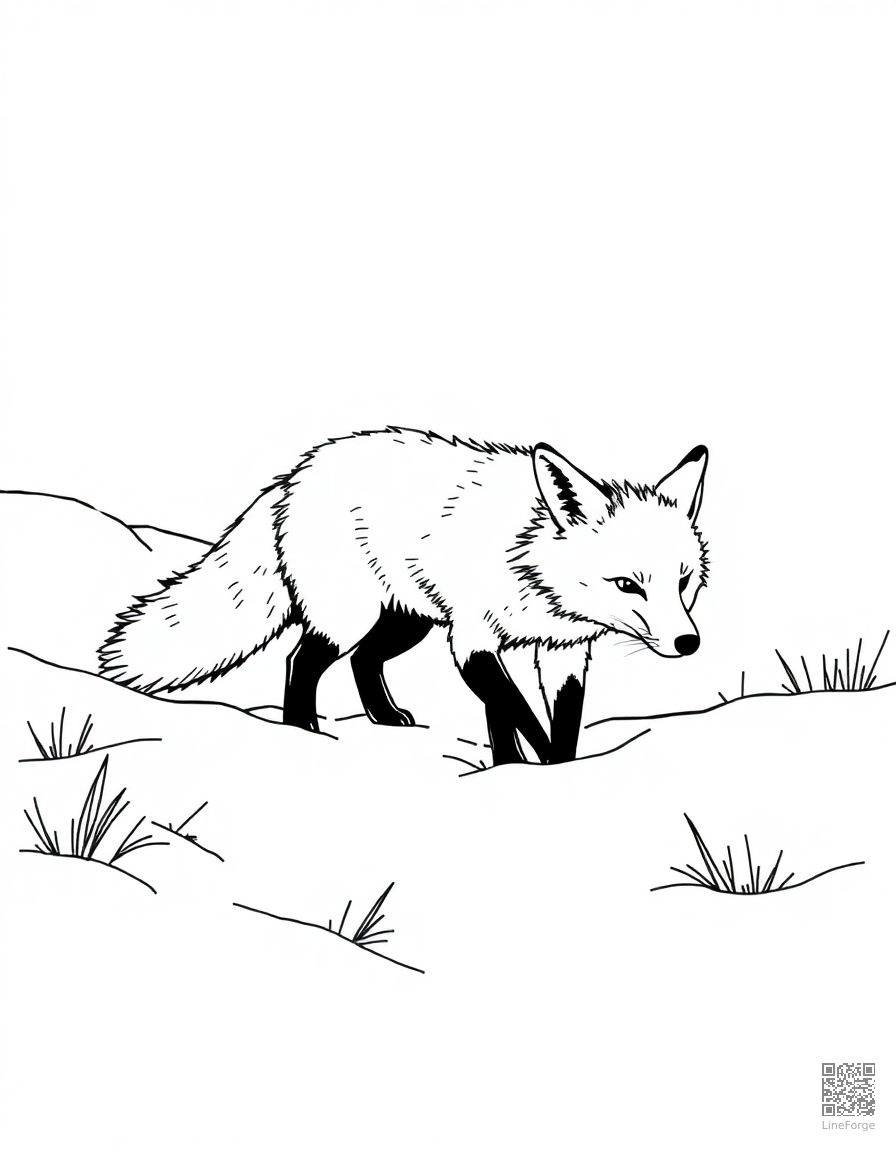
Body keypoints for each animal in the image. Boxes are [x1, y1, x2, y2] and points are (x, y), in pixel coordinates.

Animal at [98, 428, 709, 765]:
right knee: (302, 659)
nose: (689, 643)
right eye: (628, 584)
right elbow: (514, 714)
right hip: (351, 618)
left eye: (682, 582)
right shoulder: (474, 641)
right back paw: (302, 732)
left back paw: (384, 717)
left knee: (362, 662)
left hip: (405, 621)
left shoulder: (563, 653)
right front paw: (526, 767)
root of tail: (294, 476)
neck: (528, 563)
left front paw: (545, 768)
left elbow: (548, 722)